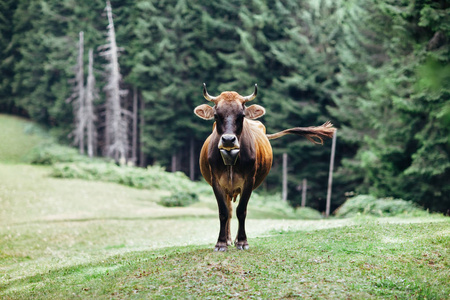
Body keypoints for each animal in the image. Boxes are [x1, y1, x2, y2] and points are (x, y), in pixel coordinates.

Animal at [193, 84, 334, 251]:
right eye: (216, 115)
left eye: (242, 115)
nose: (228, 140)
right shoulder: (216, 181)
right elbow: (223, 212)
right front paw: (221, 243)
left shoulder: (249, 181)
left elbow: (242, 210)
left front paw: (242, 241)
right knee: (229, 210)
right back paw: (227, 239)